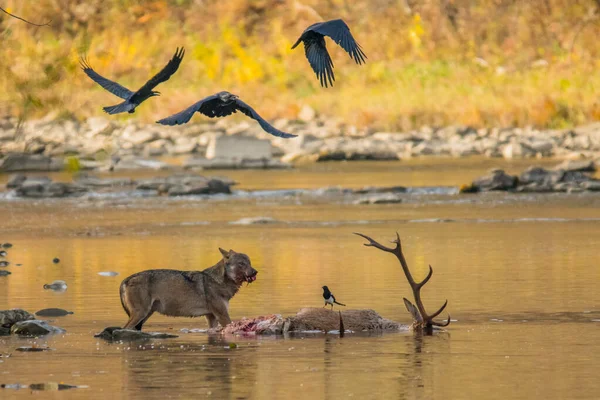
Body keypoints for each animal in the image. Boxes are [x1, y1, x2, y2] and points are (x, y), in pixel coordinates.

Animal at [118, 247, 256, 332]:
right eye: (241, 264)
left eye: (249, 263)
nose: (255, 272)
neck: (219, 281)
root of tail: (126, 279)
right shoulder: (222, 315)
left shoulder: (211, 317)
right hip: (140, 314)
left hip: (145, 315)